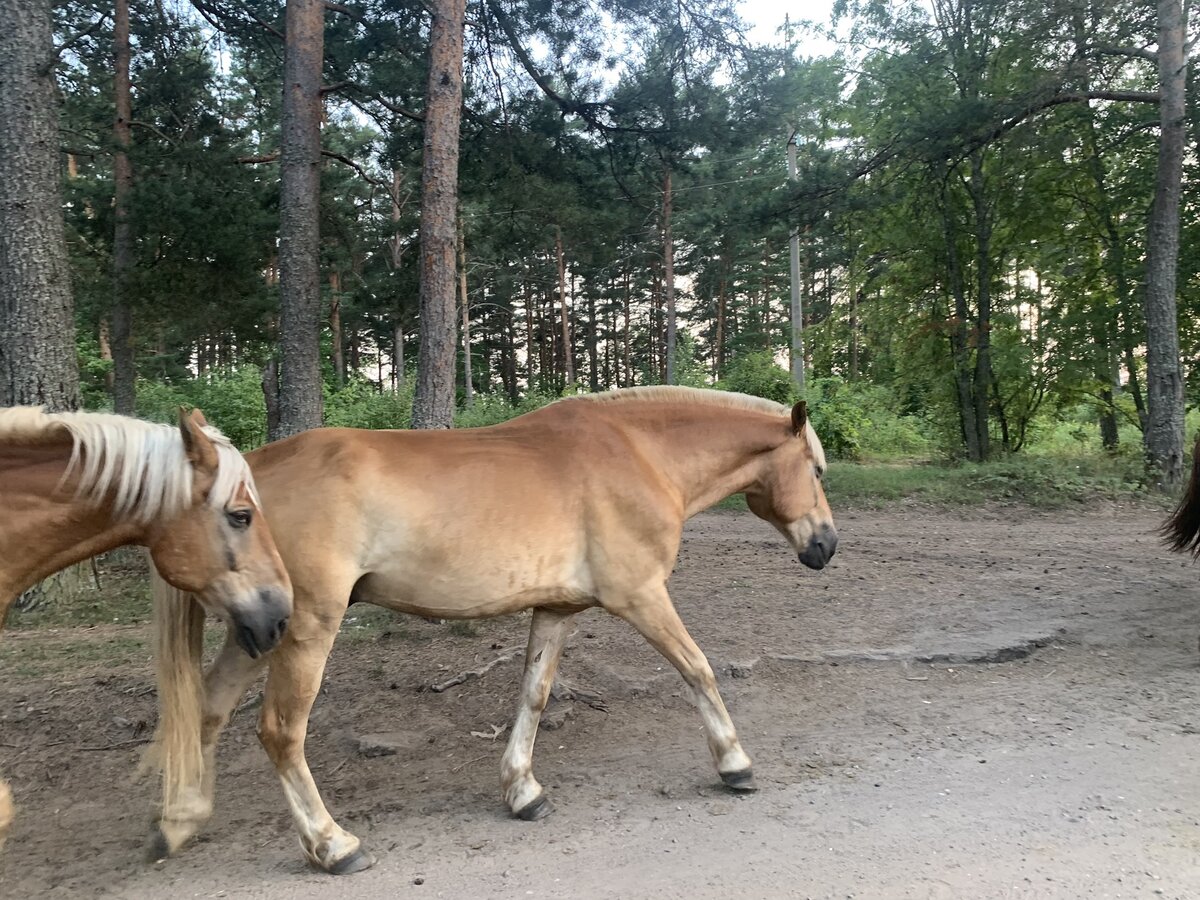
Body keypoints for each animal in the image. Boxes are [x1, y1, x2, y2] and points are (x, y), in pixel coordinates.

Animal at [150, 388, 840, 873]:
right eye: (817, 469)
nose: (826, 545)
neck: (638, 454)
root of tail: (246, 475)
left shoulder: (558, 610)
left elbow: (532, 697)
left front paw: (522, 791)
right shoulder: (641, 597)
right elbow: (698, 669)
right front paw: (735, 764)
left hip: (259, 628)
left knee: (208, 709)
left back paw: (178, 822)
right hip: (307, 626)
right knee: (280, 731)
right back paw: (333, 846)